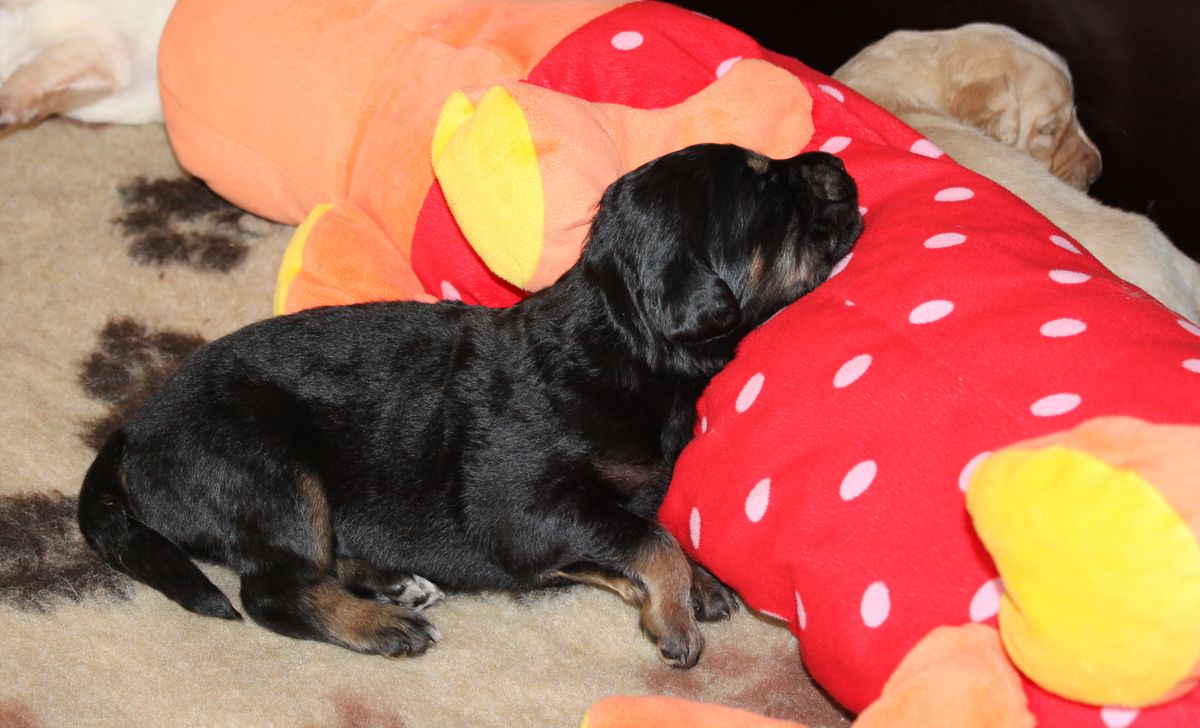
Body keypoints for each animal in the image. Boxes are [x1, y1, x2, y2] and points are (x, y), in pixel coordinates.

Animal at [77, 144, 863, 666]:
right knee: (274, 590)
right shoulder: (523, 507)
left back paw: (394, 580)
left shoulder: (568, 519)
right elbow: (649, 538)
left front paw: (697, 585)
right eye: (764, 187)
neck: (626, 342)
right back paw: (379, 626)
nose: (839, 164)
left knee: (316, 562)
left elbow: (632, 533)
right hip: (269, 469)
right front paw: (676, 615)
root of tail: (132, 431)